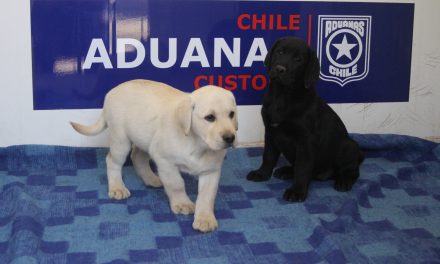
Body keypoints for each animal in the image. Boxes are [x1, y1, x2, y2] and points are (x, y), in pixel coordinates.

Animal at [70, 79, 237, 232]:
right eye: (210, 117)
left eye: (232, 114)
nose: (230, 138)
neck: (198, 144)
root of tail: (112, 91)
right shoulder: (165, 161)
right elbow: (176, 184)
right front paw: (182, 203)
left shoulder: (211, 171)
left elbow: (207, 195)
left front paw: (205, 218)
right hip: (120, 140)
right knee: (112, 161)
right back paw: (117, 187)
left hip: (144, 138)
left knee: (137, 156)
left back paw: (151, 179)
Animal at [248, 37, 364, 202]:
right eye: (280, 52)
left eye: (298, 59)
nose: (279, 69)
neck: (282, 96)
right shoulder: (270, 132)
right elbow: (268, 156)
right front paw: (262, 174)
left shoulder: (306, 141)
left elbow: (302, 167)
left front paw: (297, 191)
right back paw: (286, 170)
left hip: (348, 146)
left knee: (352, 171)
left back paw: (344, 181)